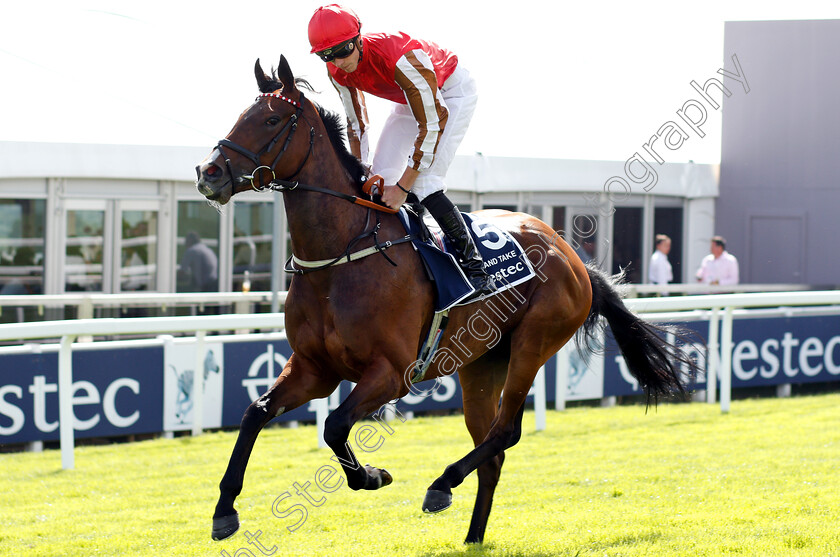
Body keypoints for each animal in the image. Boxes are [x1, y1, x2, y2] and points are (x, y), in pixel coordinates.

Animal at [195, 55, 696, 544]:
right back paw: (472, 536)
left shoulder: (391, 373)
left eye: (271, 119)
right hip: (481, 363)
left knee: (506, 431)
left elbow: (334, 425)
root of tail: (571, 255)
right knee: (492, 451)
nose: (207, 172)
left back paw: (442, 484)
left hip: (533, 344)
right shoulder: (314, 368)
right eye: (241, 115)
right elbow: (255, 413)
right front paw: (224, 510)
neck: (340, 258)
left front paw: (372, 476)